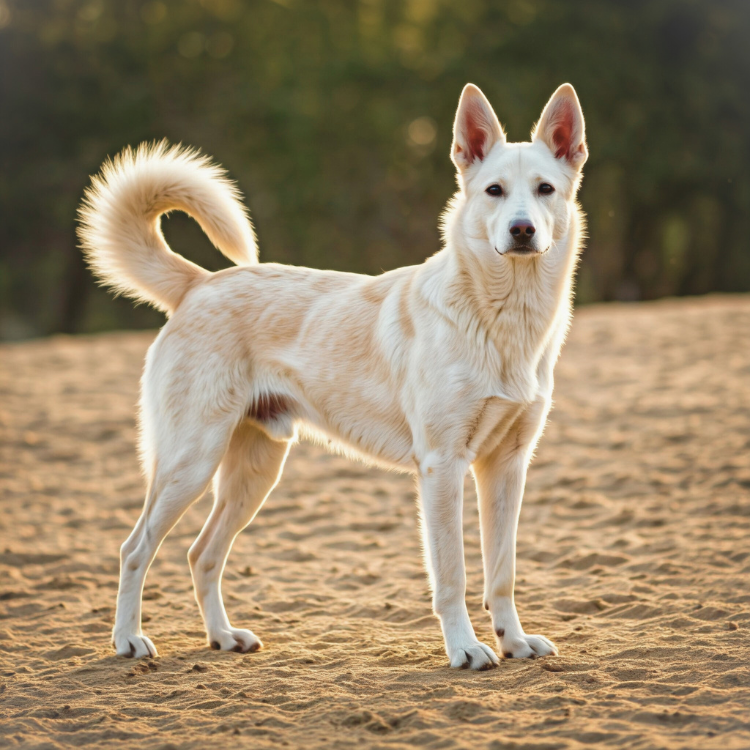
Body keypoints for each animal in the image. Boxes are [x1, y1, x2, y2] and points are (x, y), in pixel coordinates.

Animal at [79, 83, 592, 676]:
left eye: (545, 189)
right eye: (494, 191)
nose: (522, 230)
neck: (504, 318)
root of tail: (201, 283)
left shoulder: (507, 467)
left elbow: (502, 574)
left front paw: (515, 642)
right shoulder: (442, 467)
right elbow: (453, 577)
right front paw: (465, 649)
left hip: (255, 472)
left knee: (201, 553)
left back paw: (223, 636)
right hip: (190, 463)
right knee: (135, 549)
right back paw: (128, 640)